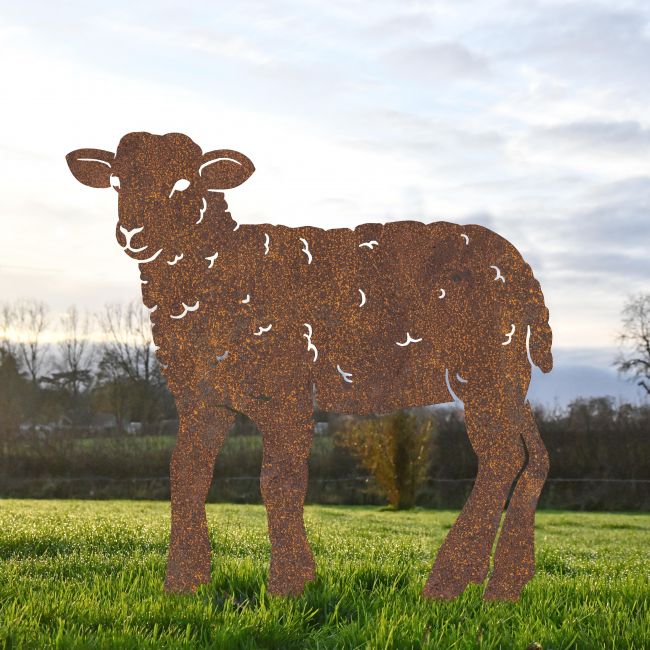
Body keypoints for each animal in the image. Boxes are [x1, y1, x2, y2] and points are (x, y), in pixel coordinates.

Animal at [66, 131, 553, 602]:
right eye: (116, 183)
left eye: (185, 184)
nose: (133, 233)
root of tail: (524, 272)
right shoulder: (201, 397)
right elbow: (186, 475)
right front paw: (184, 584)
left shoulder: (286, 386)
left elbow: (279, 482)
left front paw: (289, 584)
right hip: (510, 376)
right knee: (534, 459)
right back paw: (504, 584)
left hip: (485, 367)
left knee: (502, 459)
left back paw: (449, 582)